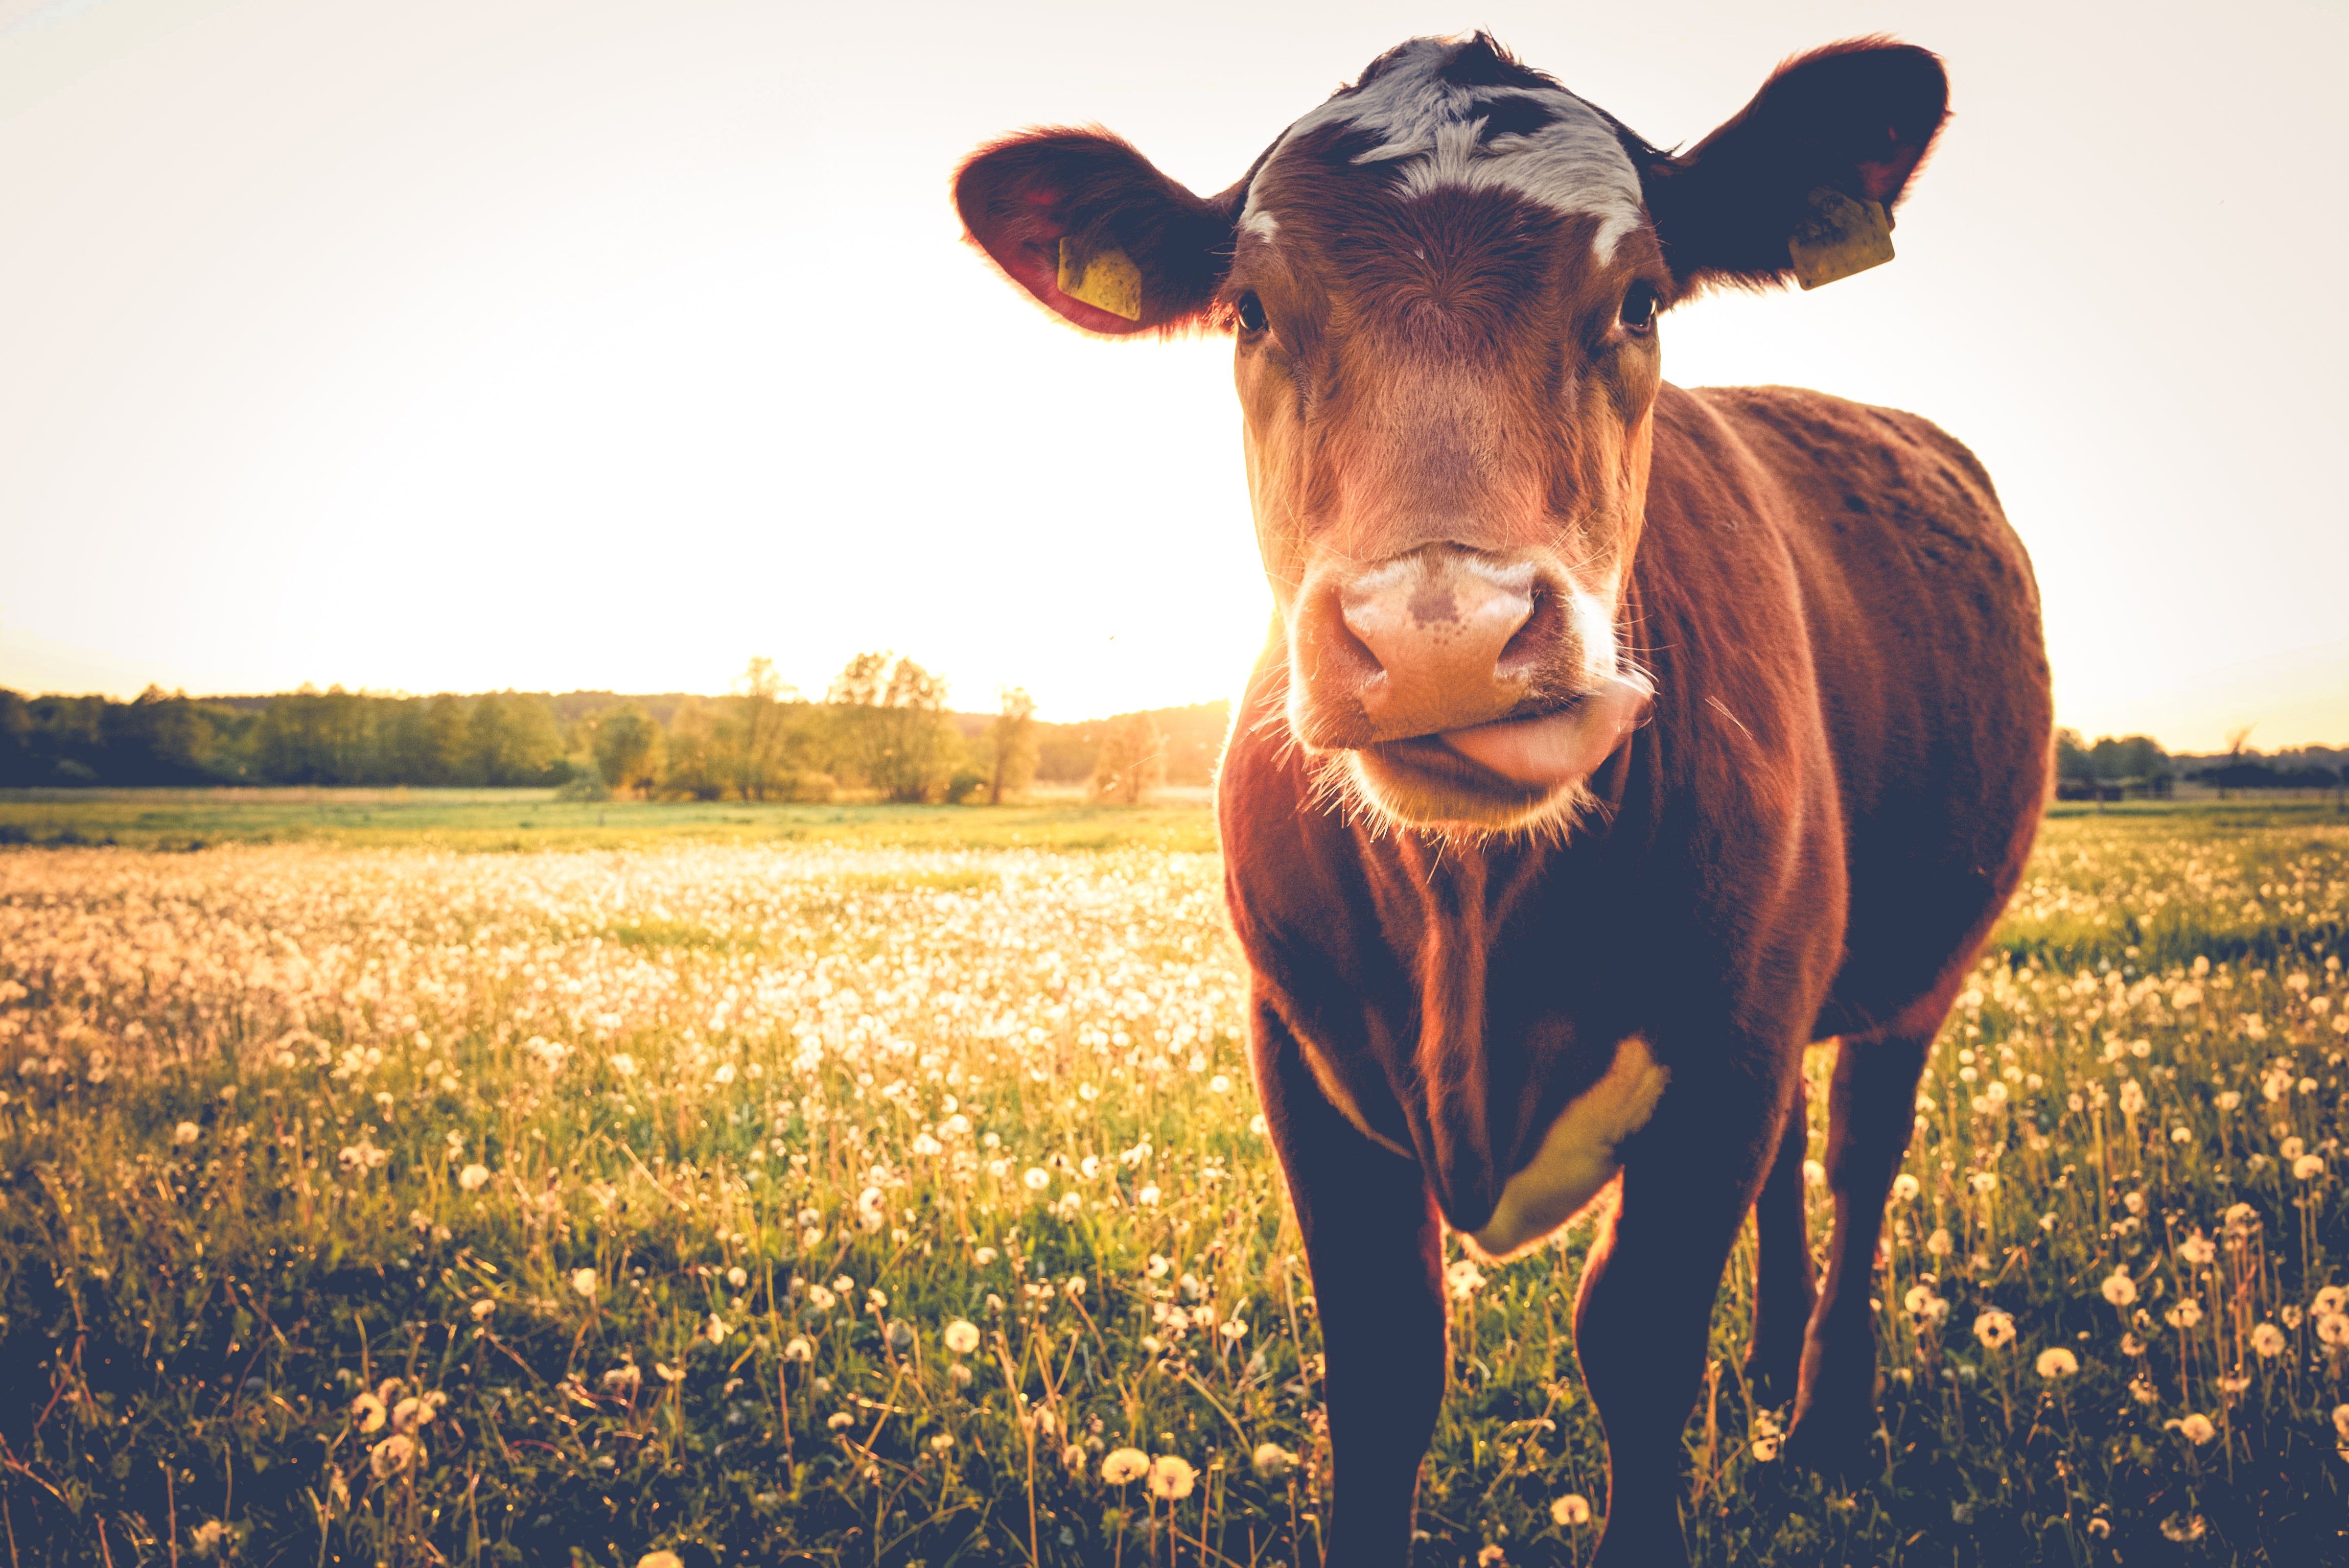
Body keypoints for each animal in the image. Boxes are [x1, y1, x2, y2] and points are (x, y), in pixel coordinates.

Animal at [957, 32, 2051, 1567]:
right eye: (1248, 309)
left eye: (1639, 296)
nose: (1440, 634)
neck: (1473, 915)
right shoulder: (1298, 1047)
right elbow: (1384, 1361)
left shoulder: (1726, 1046)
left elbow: (1635, 1341)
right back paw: (1767, 1365)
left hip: (1913, 969)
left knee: (1855, 1155)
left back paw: (1822, 1420)